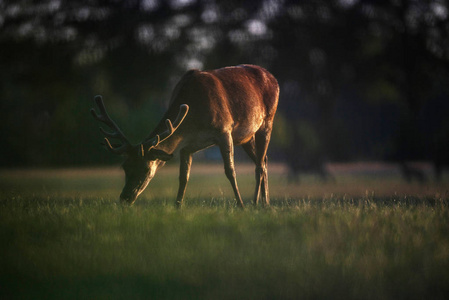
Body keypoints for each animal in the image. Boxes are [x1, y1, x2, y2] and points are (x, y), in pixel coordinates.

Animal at [91, 64, 278, 207]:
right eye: (124, 166)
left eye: (145, 169)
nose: (124, 198)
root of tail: (273, 78)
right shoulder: (186, 146)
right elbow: (183, 177)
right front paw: (177, 207)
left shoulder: (224, 130)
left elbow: (230, 171)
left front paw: (240, 206)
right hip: (246, 137)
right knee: (264, 160)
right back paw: (266, 203)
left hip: (267, 121)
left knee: (259, 165)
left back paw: (256, 203)